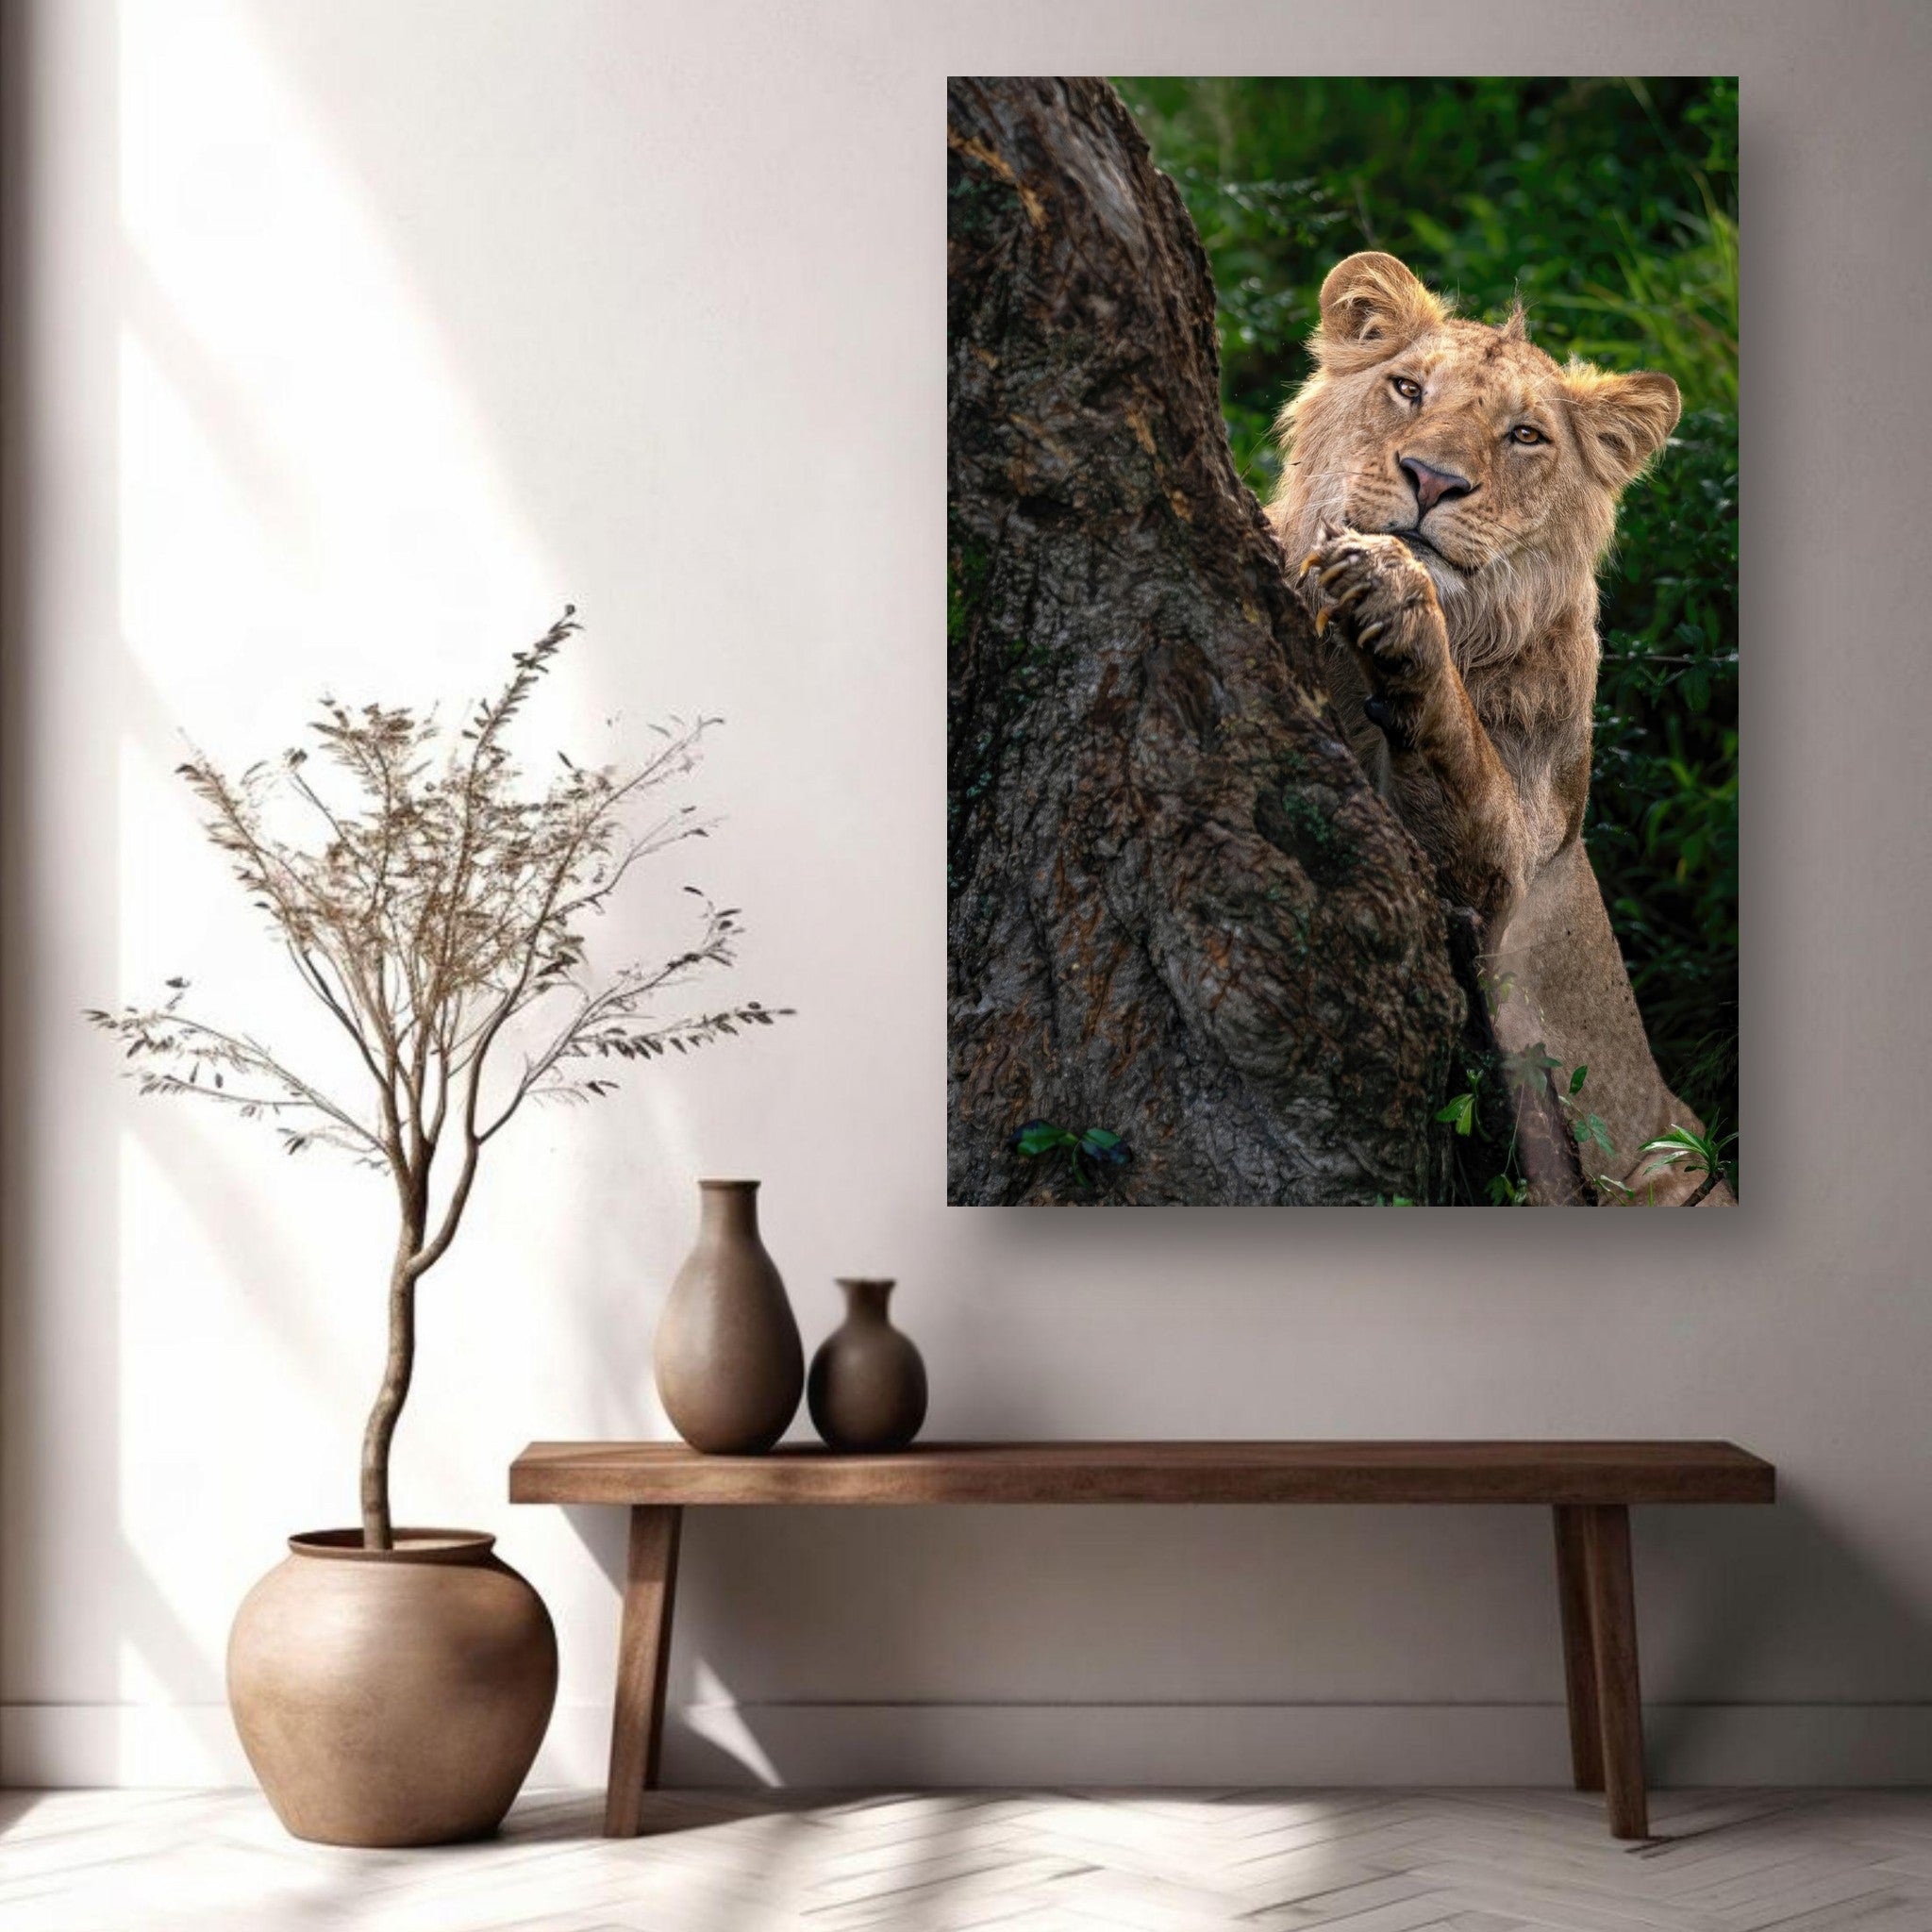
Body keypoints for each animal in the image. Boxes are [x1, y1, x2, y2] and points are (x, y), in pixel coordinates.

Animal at [1267, 251, 1733, 1206]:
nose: (1433, 480)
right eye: (1407, 388)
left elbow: (1461, 760)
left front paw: (1395, 594)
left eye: (1524, 436)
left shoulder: (1507, 883)